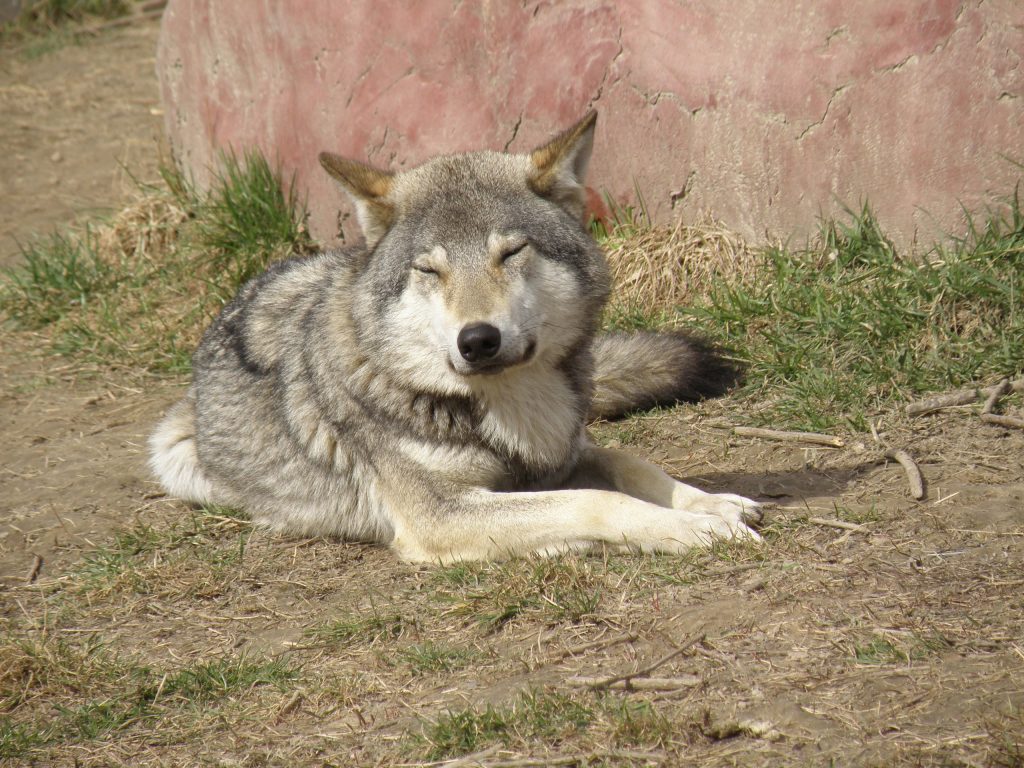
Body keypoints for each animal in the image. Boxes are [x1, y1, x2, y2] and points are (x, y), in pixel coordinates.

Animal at [149, 111, 761, 561]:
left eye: (511, 252)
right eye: (429, 269)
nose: (478, 340)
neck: (510, 411)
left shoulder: (569, 452)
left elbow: (634, 467)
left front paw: (714, 505)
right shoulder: (442, 515)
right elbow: (595, 502)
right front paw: (693, 529)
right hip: (176, 458)